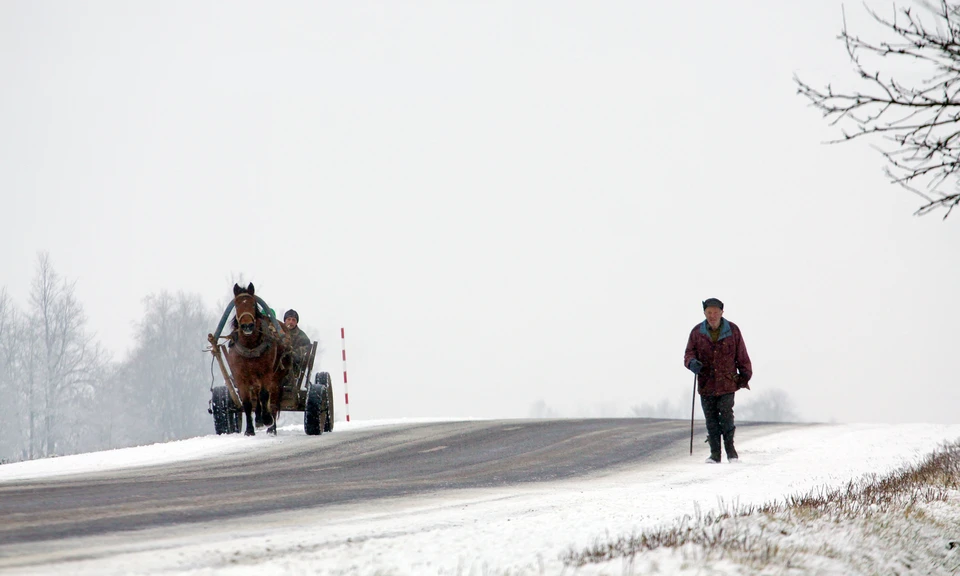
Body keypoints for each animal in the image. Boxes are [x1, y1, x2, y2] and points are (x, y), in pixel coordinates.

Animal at [225, 284, 284, 436]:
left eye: (253, 303)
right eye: (236, 305)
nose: (247, 326)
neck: (250, 347)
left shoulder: (266, 372)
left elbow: (264, 395)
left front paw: (267, 419)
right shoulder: (240, 376)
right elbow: (247, 402)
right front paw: (249, 430)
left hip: (275, 377)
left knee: (272, 400)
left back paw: (271, 426)